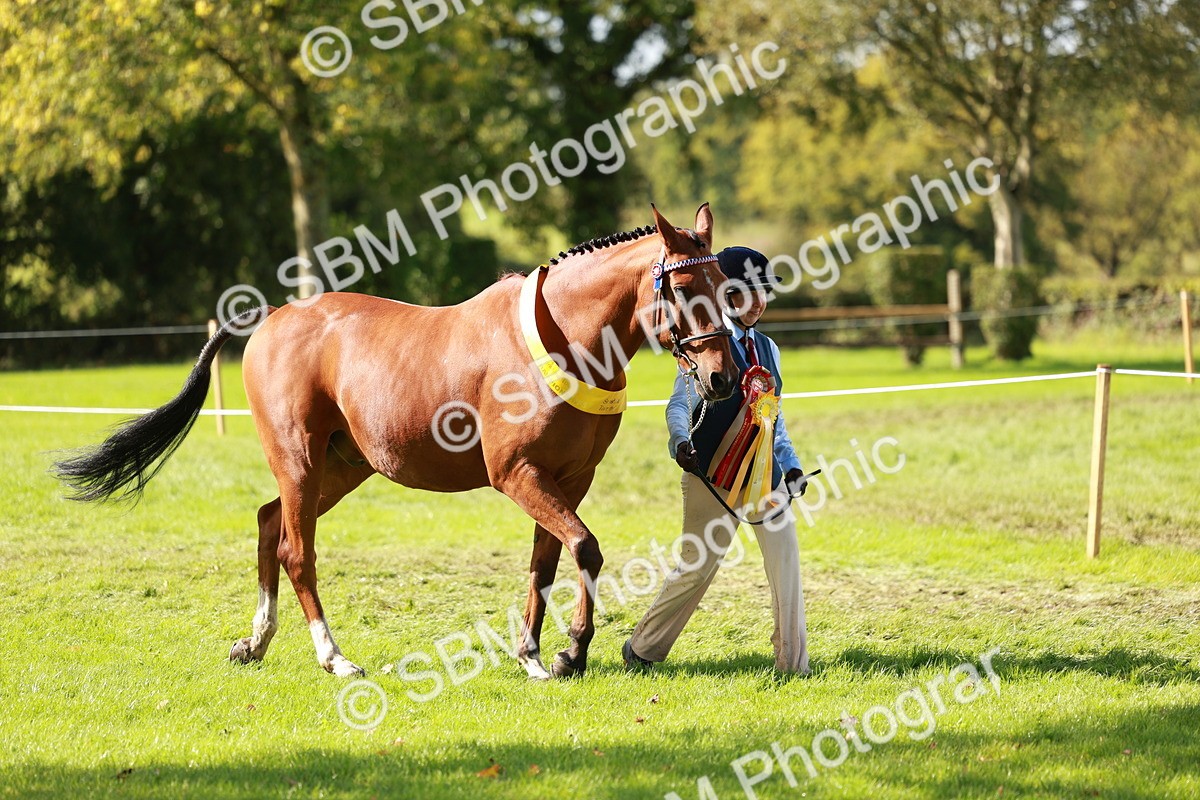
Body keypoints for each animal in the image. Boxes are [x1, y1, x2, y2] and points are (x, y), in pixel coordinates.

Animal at [54, 203, 737, 680]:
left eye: (726, 288)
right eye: (682, 290)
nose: (722, 377)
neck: (563, 338)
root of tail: (272, 317)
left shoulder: (567, 479)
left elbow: (547, 561)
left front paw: (534, 656)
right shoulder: (516, 474)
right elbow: (586, 549)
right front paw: (571, 652)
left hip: (340, 466)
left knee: (269, 523)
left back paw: (256, 641)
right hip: (300, 461)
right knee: (297, 551)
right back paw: (334, 658)